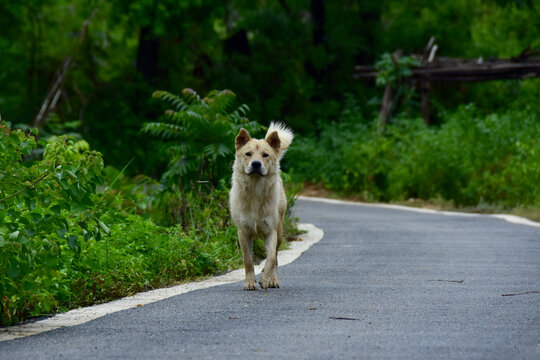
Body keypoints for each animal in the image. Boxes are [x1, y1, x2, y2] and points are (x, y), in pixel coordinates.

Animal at [229, 121, 294, 290]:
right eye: (248, 154)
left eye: (265, 155)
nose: (256, 164)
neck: (255, 192)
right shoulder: (243, 232)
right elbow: (248, 260)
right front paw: (250, 282)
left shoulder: (271, 231)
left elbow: (270, 258)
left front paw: (265, 279)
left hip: (280, 231)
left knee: (276, 258)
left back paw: (273, 280)